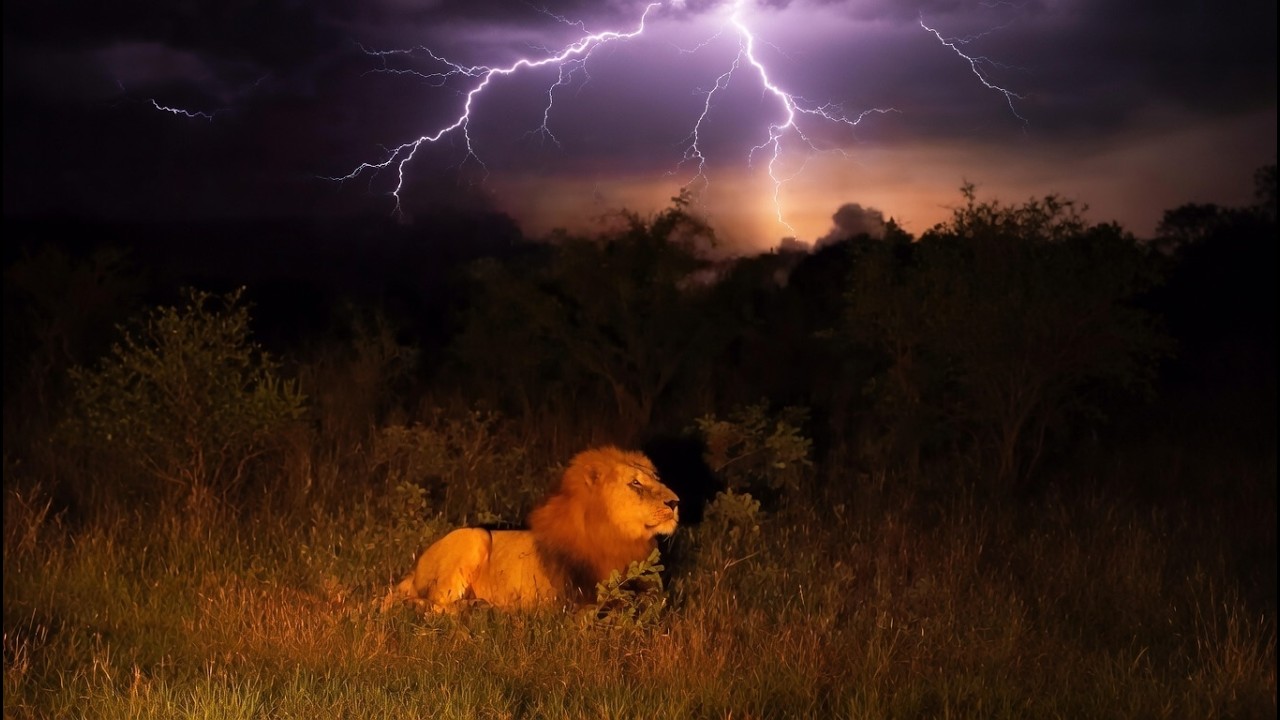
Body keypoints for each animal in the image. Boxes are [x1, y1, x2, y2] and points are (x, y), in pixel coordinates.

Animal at [381, 445, 679, 613]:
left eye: (657, 479)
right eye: (635, 483)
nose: (676, 502)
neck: (618, 538)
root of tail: (413, 570)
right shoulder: (567, 603)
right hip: (476, 536)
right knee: (429, 606)